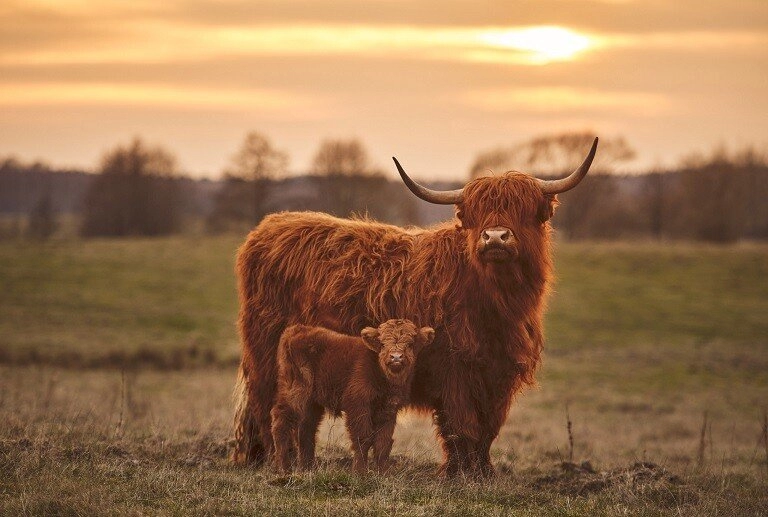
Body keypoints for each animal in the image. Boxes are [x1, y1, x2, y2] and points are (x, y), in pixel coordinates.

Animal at [272, 318, 436, 472]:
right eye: (383, 344)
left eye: (410, 344)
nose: (396, 357)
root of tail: (296, 330)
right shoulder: (358, 406)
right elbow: (362, 438)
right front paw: (359, 473)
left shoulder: (389, 410)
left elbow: (383, 443)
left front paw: (384, 473)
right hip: (296, 393)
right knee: (281, 421)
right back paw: (284, 469)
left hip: (312, 403)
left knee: (306, 428)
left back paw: (307, 468)